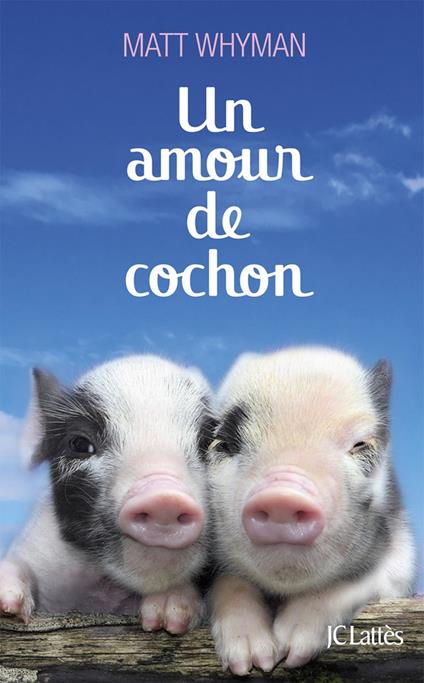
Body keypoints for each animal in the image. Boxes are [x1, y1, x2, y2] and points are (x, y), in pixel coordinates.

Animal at [207, 346, 416, 674]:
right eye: (224, 443)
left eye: (361, 444)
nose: (282, 496)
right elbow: (229, 581)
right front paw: (253, 662)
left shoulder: (402, 559)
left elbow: (355, 581)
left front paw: (289, 650)